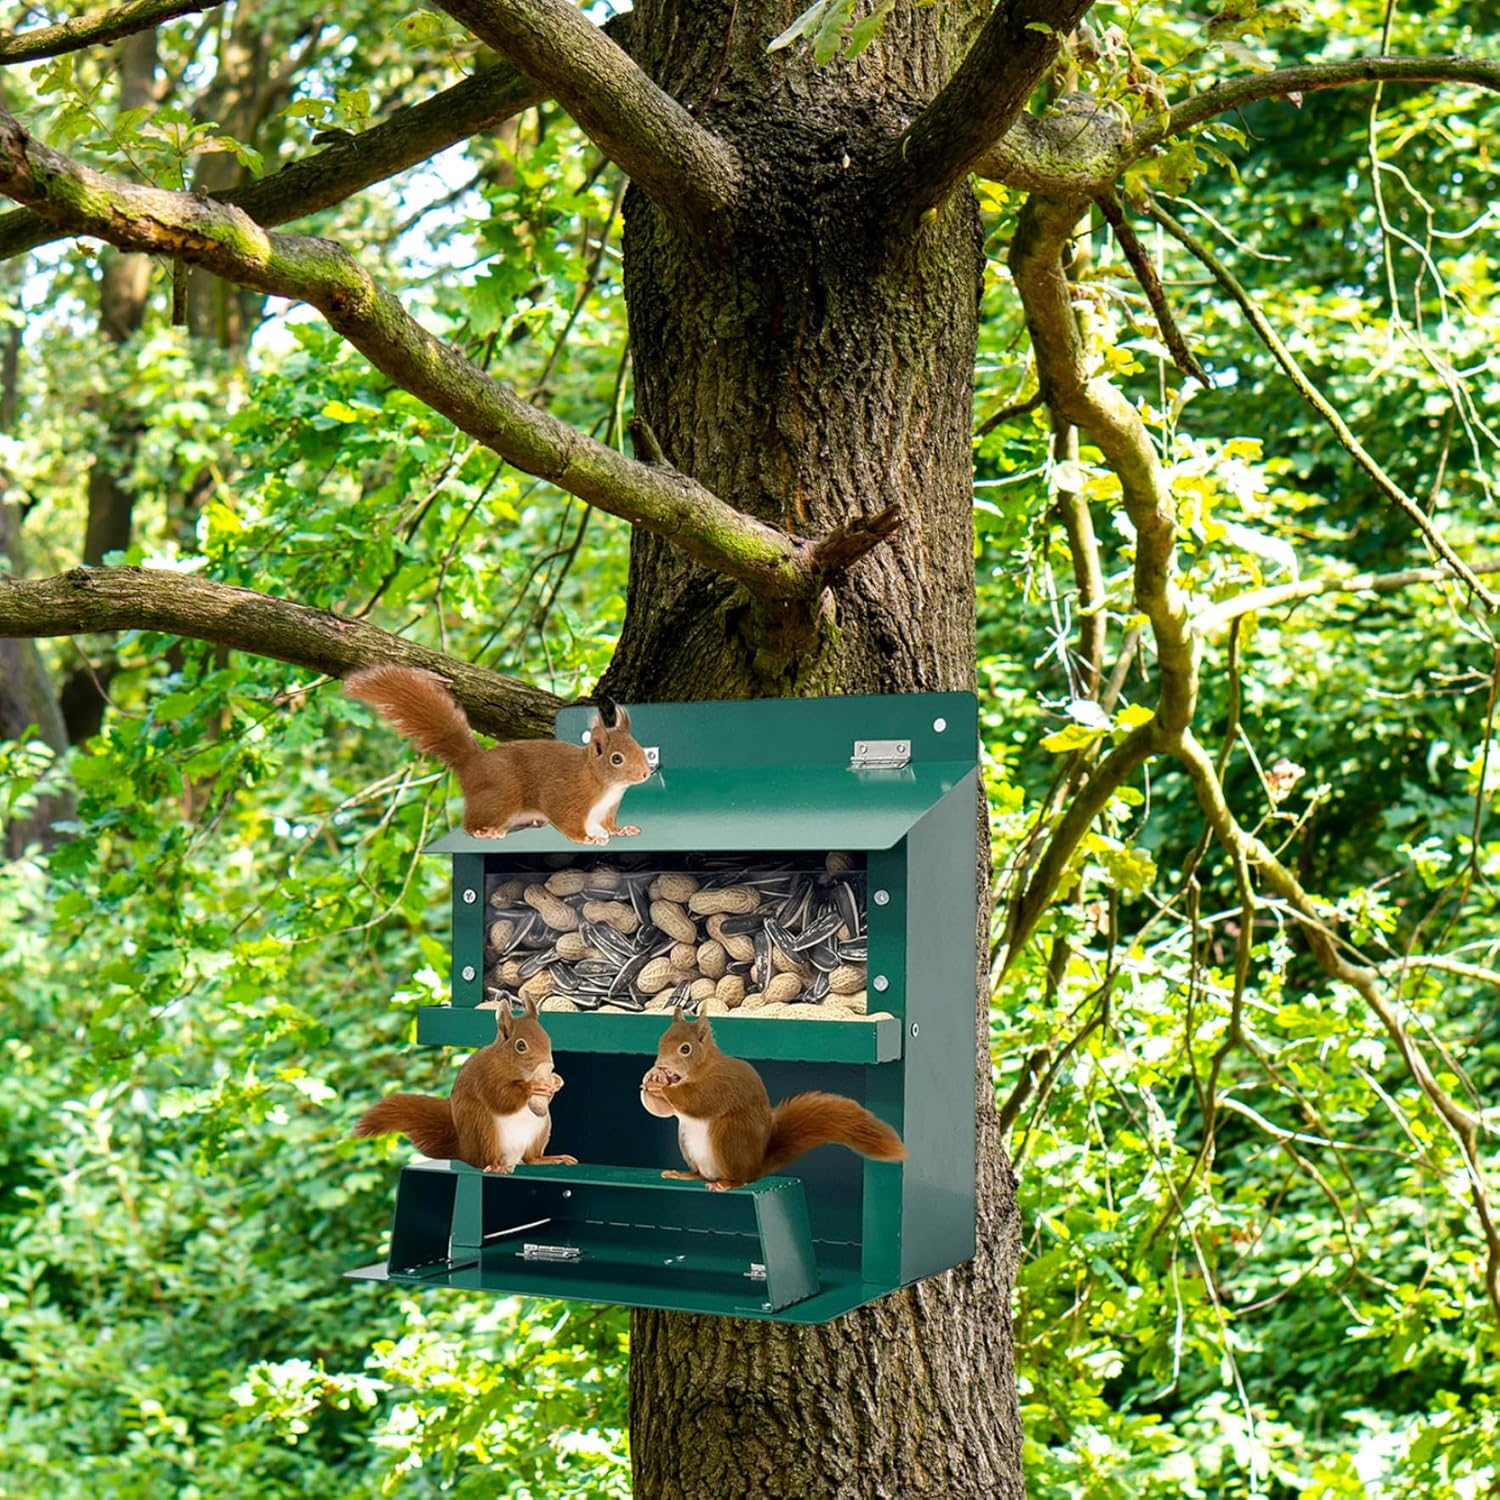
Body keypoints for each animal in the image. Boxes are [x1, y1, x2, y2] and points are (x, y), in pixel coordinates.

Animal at [343, 664, 652, 844]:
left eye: (640, 748)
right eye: (616, 759)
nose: (646, 773)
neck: (605, 786)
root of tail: (472, 762)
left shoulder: (606, 810)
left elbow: (608, 824)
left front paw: (619, 831)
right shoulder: (566, 796)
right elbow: (566, 820)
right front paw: (588, 839)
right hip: (502, 796)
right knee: (469, 822)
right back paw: (484, 832)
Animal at [352, 995, 578, 1173]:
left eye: (547, 1038)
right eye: (520, 1046)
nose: (549, 1064)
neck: (519, 1070)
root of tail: (463, 1151)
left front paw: (556, 1082)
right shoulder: (487, 1076)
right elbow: (501, 1098)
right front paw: (533, 1087)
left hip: (542, 1127)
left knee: (531, 1159)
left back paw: (550, 1159)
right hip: (482, 1126)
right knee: (484, 1159)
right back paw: (495, 1167)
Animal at [639, 1007, 906, 1191]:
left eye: (685, 1049)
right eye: (662, 1039)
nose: (660, 1064)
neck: (702, 1069)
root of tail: (757, 1166)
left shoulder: (721, 1084)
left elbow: (697, 1100)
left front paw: (661, 1088)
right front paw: (651, 1080)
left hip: (728, 1135)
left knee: (740, 1178)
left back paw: (726, 1184)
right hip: (686, 1142)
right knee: (701, 1174)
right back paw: (684, 1175)